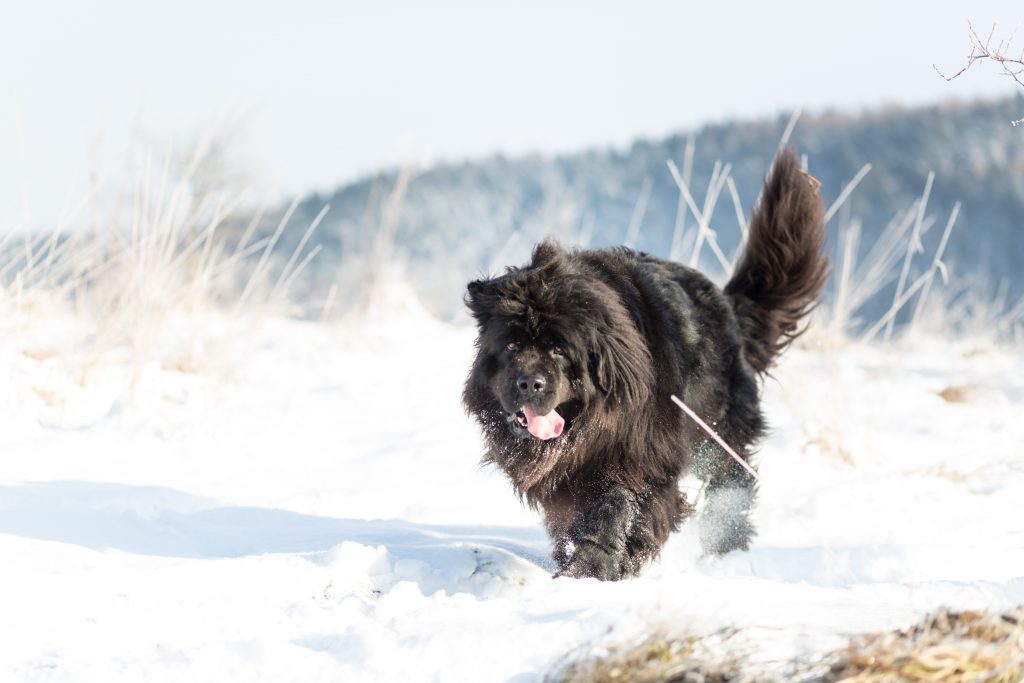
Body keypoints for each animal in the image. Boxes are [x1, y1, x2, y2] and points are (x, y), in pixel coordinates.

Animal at [460, 147, 827, 581]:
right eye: (512, 344)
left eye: (560, 350)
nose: (529, 383)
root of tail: (727, 306)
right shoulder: (569, 477)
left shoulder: (641, 456)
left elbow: (618, 505)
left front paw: (594, 566)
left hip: (720, 431)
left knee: (731, 482)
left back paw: (725, 548)